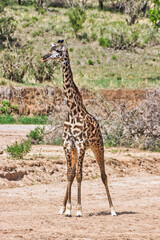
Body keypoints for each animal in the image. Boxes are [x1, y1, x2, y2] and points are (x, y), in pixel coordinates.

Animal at [41, 39, 116, 218]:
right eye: (50, 48)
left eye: (58, 51)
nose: (44, 56)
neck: (73, 112)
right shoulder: (68, 145)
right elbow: (70, 174)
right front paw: (67, 209)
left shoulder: (81, 145)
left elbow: (80, 175)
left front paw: (79, 209)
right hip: (76, 150)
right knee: (73, 173)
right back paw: (63, 208)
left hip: (98, 146)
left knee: (103, 175)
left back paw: (113, 209)